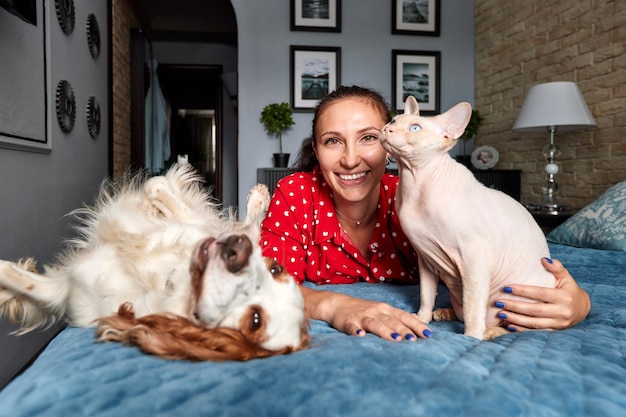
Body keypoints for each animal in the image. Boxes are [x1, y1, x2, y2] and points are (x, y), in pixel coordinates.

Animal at [0, 164, 308, 360]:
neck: (164, 280)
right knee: (249, 229)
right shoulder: (70, 289)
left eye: (255, 321)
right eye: (274, 269)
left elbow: (157, 185)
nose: (239, 250)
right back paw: (259, 198)